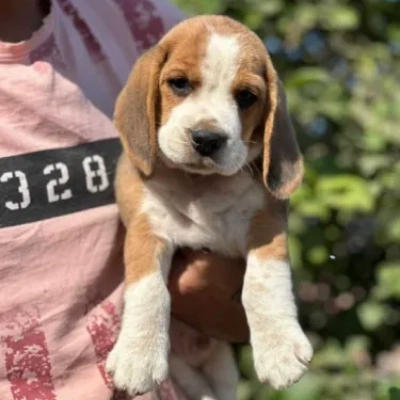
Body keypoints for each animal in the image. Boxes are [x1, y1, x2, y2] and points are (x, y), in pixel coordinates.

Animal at [108, 14, 314, 398]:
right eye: (179, 84)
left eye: (246, 97)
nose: (207, 139)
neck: (201, 185)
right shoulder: (146, 229)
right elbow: (148, 290)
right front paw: (138, 354)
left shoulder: (266, 225)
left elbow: (263, 284)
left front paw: (279, 348)